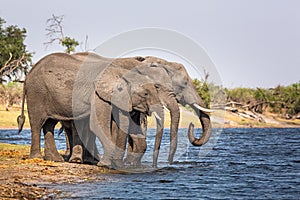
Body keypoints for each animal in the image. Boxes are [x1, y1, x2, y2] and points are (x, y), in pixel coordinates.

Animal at [17, 52, 163, 167]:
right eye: (145, 94)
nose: (155, 166)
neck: (120, 72)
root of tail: (28, 74)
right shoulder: (98, 95)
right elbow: (97, 124)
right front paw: (104, 164)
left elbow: (123, 123)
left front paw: (113, 164)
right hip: (37, 92)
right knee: (37, 123)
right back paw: (37, 158)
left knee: (49, 124)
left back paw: (55, 159)